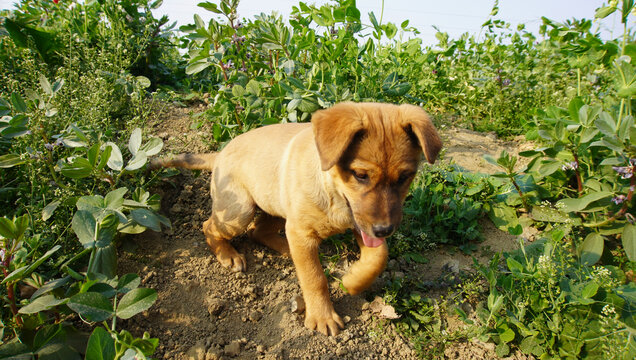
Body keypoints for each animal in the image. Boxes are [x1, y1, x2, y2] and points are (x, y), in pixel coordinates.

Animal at [153, 102, 442, 336]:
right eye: (360, 175)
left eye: (405, 177)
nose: (384, 230)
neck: (331, 188)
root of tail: (220, 154)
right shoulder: (308, 229)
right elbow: (314, 278)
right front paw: (323, 316)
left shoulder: (361, 223)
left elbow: (378, 256)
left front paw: (353, 280)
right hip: (240, 210)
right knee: (210, 226)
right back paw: (228, 255)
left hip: (275, 206)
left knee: (258, 231)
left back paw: (285, 250)